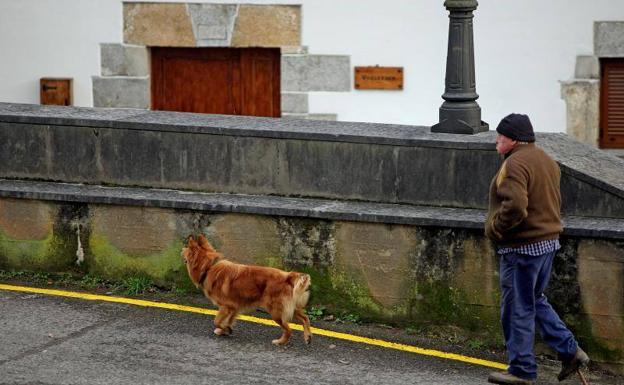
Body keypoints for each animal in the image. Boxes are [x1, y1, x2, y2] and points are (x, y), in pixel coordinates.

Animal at [183, 234, 314, 344]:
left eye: (186, 251)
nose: (182, 252)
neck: (209, 267)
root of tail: (287, 276)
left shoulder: (226, 306)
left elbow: (217, 321)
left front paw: (225, 329)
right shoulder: (234, 307)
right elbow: (228, 320)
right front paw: (225, 330)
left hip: (275, 311)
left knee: (288, 329)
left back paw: (280, 342)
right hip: (290, 307)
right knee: (305, 318)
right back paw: (307, 337)